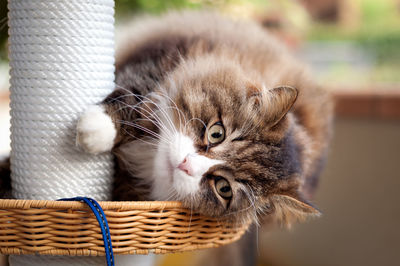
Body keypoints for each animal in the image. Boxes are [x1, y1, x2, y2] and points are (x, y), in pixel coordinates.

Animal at [74, 10, 332, 227]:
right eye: (217, 133)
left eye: (223, 188)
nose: (185, 164)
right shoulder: (160, 59)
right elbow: (135, 95)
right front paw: (98, 128)